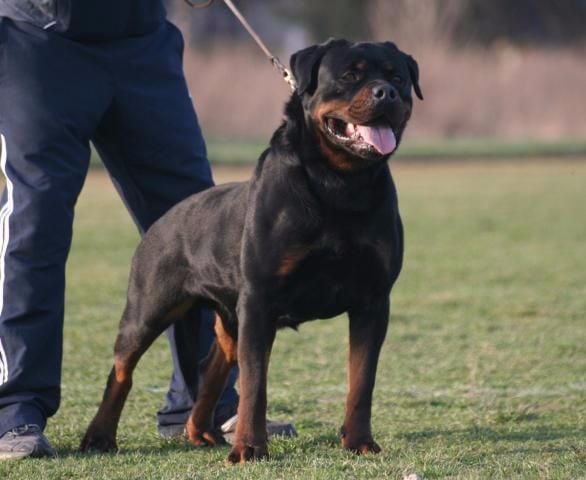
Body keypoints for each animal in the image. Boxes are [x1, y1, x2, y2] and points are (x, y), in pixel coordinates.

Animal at [80, 38, 423, 463]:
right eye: (349, 76)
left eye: (398, 78)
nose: (385, 92)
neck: (339, 183)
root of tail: (162, 220)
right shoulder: (260, 300)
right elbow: (255, 383)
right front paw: (249, 448)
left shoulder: (372, 301)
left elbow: (361, 380)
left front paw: (359, 441)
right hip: (148, 308)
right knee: (121, 371)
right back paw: (99, 436)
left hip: (229, 317)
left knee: (212, 367)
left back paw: (200, 432)